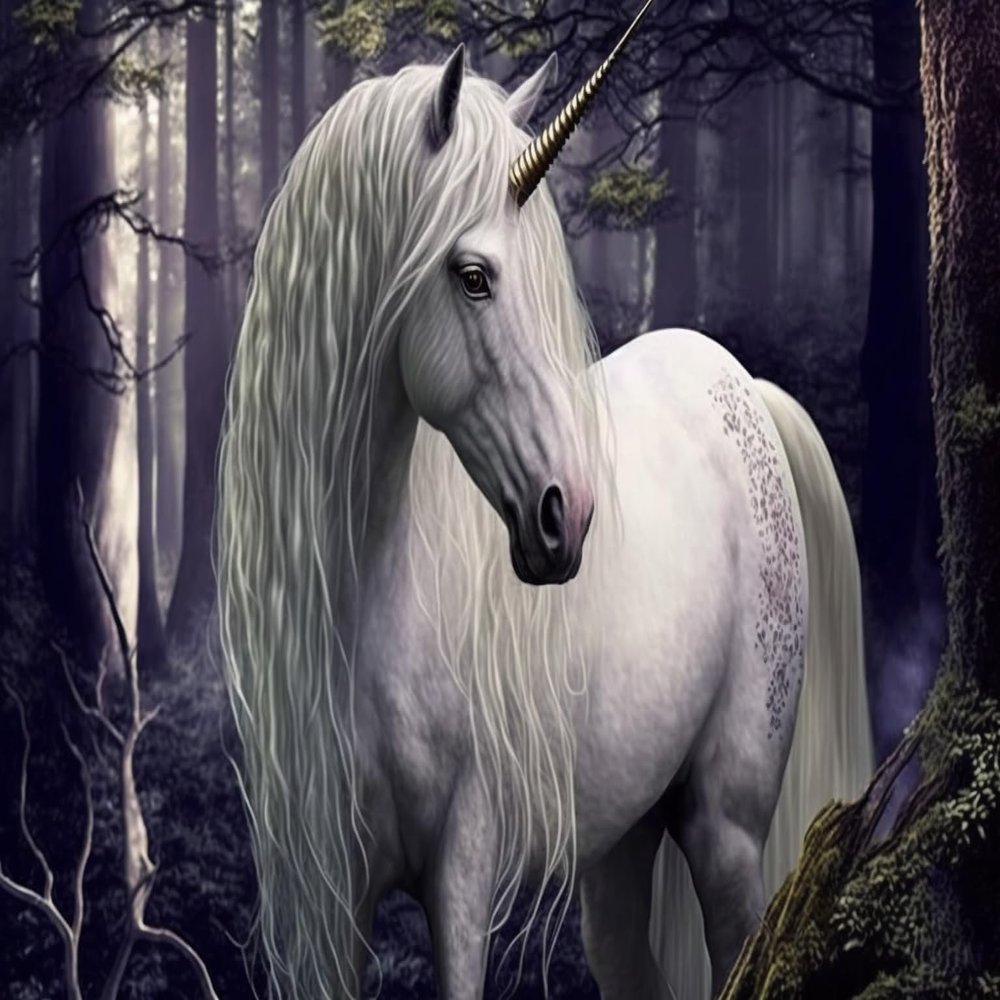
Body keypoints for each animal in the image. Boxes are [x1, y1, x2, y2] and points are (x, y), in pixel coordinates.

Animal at [216, 37, 874, 1000]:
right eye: (474, 276)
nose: (571, 512)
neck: (369, 598)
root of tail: (741, 388)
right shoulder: (331, 903)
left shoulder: (462, 869)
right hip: (623, 835)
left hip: (725, 828)